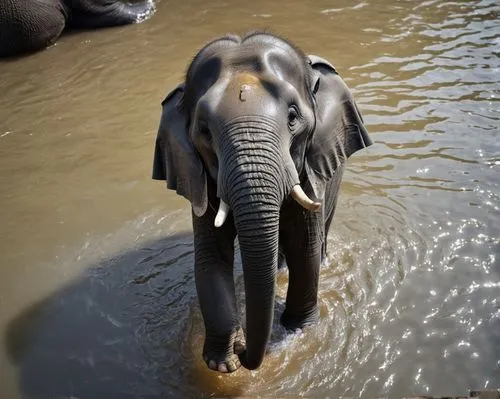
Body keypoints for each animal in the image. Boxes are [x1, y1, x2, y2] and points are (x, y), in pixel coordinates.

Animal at [151, 32, 372, 374]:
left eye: (293, 118)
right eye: (204, 131)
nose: (244, 351)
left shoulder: (310, 166)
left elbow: (304, 247)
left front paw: (298, 330)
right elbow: (211, 257)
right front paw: (222, 363)